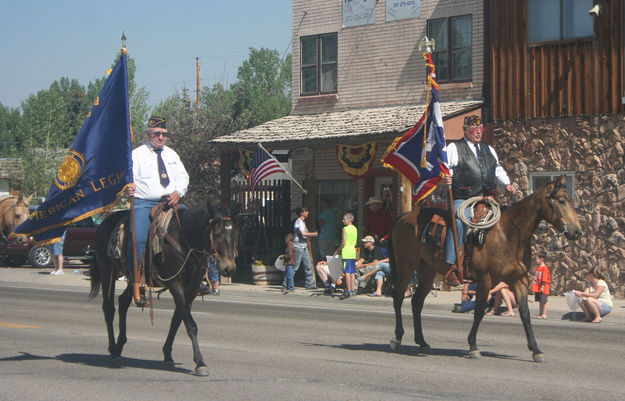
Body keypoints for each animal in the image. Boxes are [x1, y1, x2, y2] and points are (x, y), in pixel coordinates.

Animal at [87, 203, 234, 376]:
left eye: (235, 234)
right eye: (217, 234)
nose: (229, 269)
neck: (183, 241)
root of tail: (104, 223)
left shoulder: (191, 288)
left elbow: (178, 320)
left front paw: (167, 355)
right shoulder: (175, 284)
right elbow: (190, 324)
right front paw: (200, 362)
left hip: (131, 278)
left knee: (123, 302)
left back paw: (119, 346)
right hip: (106, 272)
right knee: (109, 309)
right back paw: (113, 351)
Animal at [390, 176, 580, 362]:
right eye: (561, 201)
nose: (577, 231)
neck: (509, 235)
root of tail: (404, 217)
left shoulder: (519, 280)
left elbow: (525, 313)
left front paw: (536, 350)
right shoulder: (485, 279)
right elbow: (479, 310)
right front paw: (473, 346)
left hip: (427, 272)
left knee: (416, 302)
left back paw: (422, 342)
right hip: (406, 267)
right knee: (398, 297)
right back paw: (397, 338)